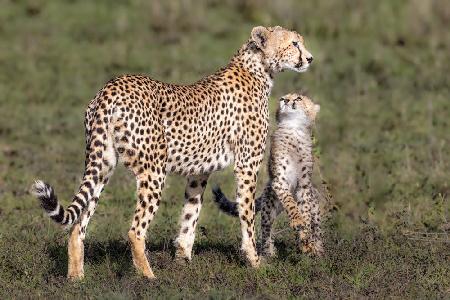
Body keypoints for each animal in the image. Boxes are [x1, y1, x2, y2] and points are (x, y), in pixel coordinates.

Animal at [31, 24, 312, 280]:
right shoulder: (247, 165)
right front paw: (255, 261)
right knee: (135, 230)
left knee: (78, 225)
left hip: (102, 165)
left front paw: (183, 262)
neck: (256, 69)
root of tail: (110, 88)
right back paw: (148, 277)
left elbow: (190, 215)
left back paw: (76, 278)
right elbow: (247, 214)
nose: (309, 58)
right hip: (153, 171)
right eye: (294, 43)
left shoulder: (199, 172)